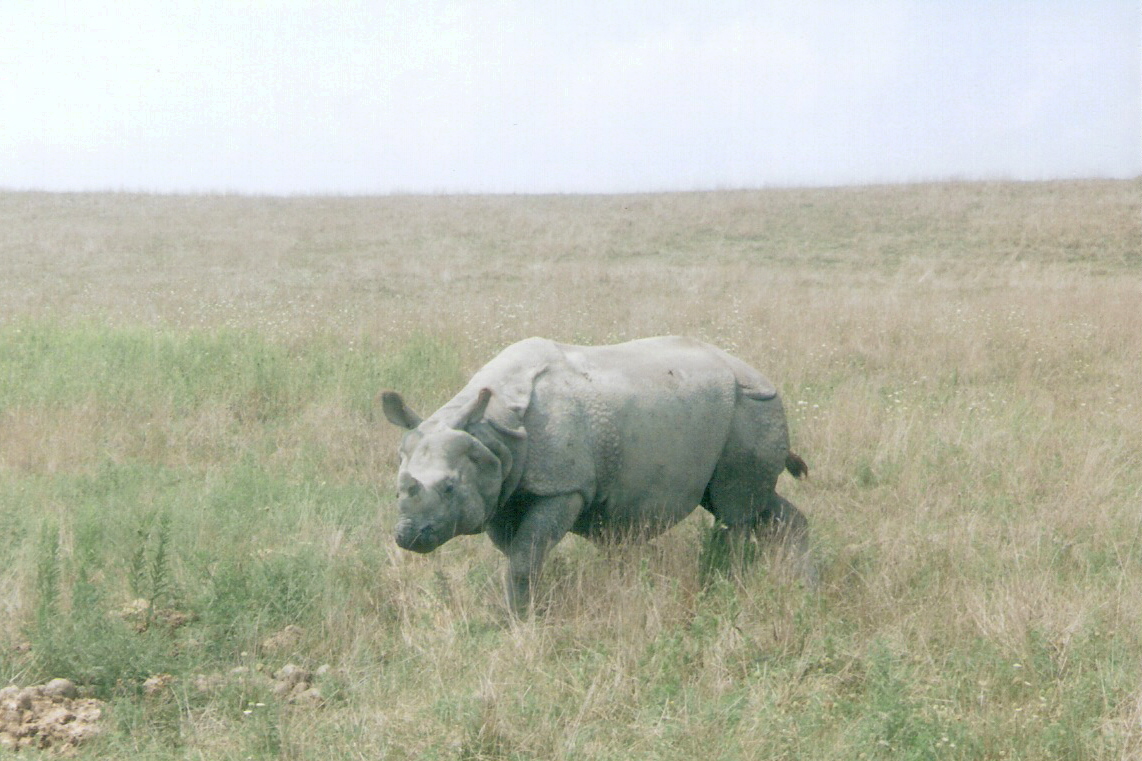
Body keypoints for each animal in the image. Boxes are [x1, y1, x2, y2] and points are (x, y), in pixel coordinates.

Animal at [382, 335, 813, 612]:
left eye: (449, 488)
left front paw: (521, 619)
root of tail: (759, 373)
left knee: (733, 510)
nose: (407, 536)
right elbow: (520, 553)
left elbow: (524, 556)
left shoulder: (564, 487)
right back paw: (802, 581)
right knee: (756, 505)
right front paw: (529, 608)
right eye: (397, 489)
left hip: (751, 405)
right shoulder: (501, 491)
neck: (491, 430)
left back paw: (721, 583)